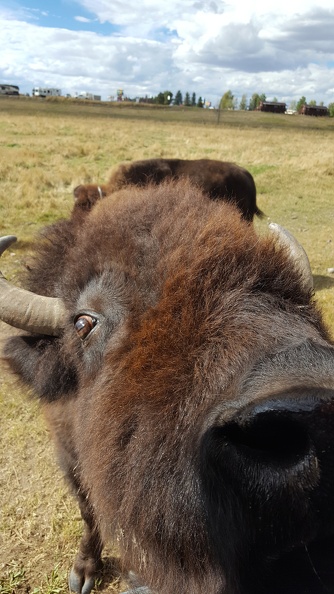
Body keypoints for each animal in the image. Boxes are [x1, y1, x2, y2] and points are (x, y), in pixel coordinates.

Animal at [0, 179, 334, 592]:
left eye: (291, 296)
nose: (317, 415)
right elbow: (88, 509)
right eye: (83, 323)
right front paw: (83, 573)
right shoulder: (68, 454)